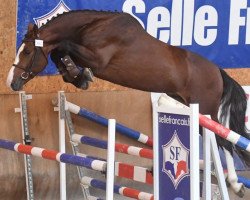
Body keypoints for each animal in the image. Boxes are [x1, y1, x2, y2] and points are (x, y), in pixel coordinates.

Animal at [6, 10, 249, 196]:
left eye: (27, 51)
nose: (12, 82)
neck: (90, 27)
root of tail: (218, 71)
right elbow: (59, 52)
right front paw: (78, 76)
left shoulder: (98, 59)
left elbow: (63, 46)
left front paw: (80, 74)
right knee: (223, 140)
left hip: (204, 110)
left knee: (225, 141)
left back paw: (236, 185)